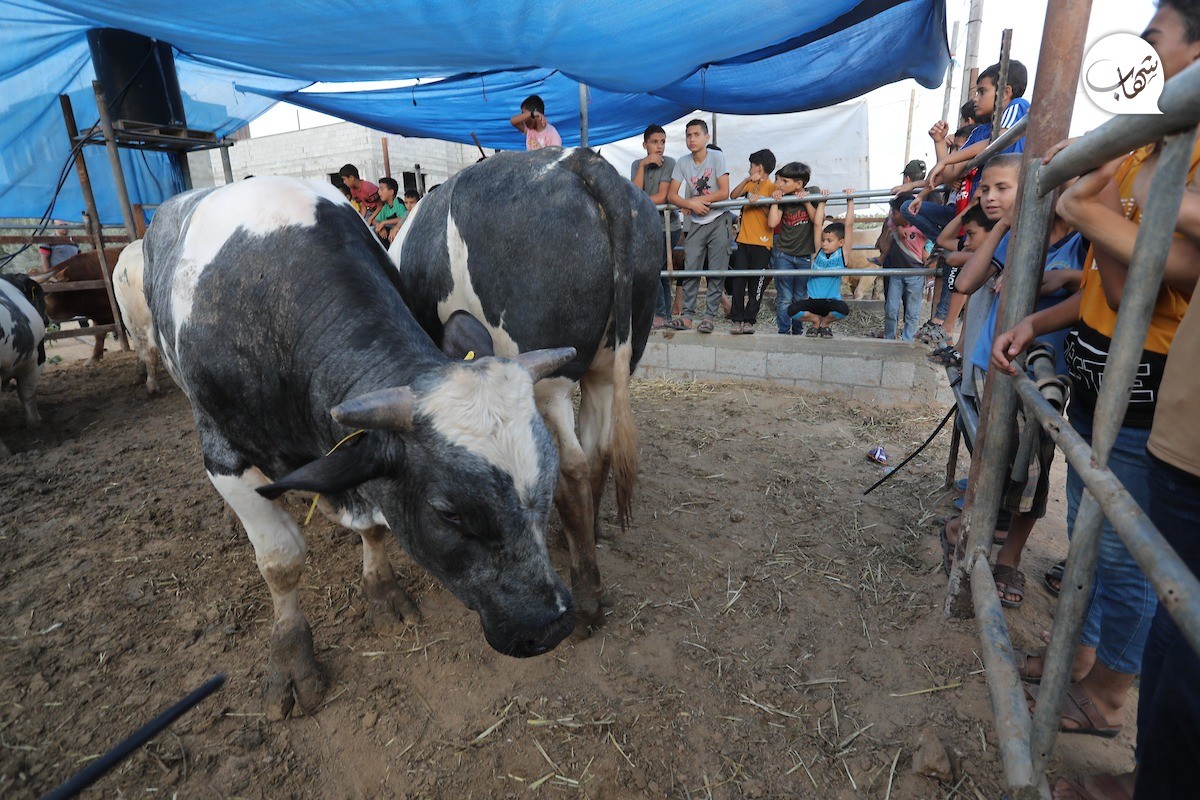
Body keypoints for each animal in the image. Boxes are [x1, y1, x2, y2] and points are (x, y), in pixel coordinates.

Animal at [142, 176, 578, 719]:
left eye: (551, 480)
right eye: (449, 513)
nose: (550, 624)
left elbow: (375, 526)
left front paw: (383, 592)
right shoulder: (226, 454)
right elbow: (280, 561)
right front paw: (291, 661)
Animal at [388, 148, 661, 631]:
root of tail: (582, 162)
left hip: (544, 373)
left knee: (571, 465)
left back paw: (587, 599)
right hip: (607, 363)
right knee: (599, 452)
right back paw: (582, 537)